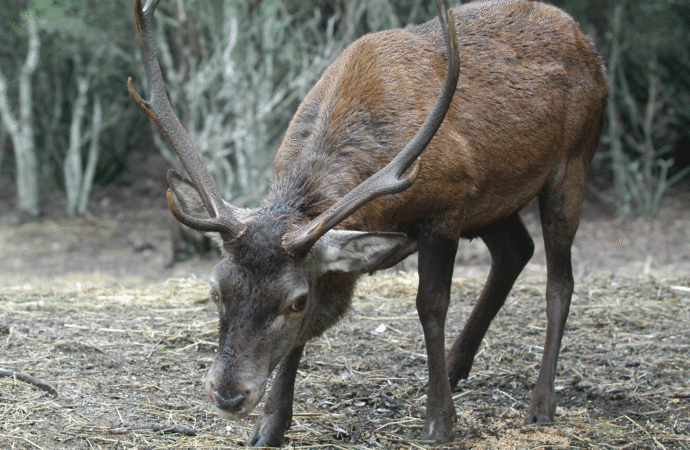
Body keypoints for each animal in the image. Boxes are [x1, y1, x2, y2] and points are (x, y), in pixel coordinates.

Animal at [128, 0, 608, 445]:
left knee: (559, 282)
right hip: (493, 203)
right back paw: (455, 367)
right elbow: (304, 338)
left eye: (295, 301)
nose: (228, 395)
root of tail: (583, 37)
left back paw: (540, 402)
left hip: (573, 162)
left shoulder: (447, 207)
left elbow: (431, 305)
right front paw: (271, 427)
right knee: (516, 251)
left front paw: (439, 421)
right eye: (214, 290)